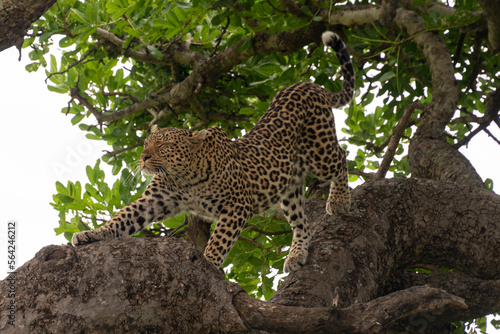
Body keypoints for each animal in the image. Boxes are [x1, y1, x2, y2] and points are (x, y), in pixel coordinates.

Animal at [73, 31, 356, 272]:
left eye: (163, 146)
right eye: (146, 144)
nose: (143, 158)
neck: (184, 179)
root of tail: (308, 85)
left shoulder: (237, 205)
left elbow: (220, 240)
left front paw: (208, 263)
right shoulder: (154, 201)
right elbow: (122, 218)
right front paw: (92, 234)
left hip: (319, 152)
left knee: (341, 158)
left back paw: (339, 201)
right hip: (290, 186)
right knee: (301, 222)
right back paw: (297, 254)